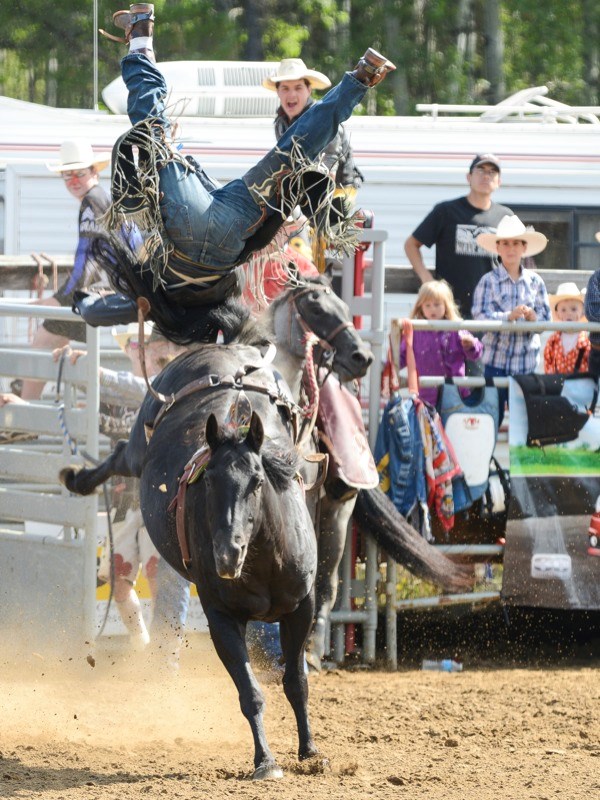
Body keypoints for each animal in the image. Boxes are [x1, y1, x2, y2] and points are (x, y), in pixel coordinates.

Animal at [61, 340, 322, 780]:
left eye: (257, 481)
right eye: (209, 479)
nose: (227, 554)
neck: (264, 563)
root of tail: (223, 349)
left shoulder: (302, 607)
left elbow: (296, 683)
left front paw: (310, 751)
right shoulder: (220, 617)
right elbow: (250, 693)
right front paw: (265, 761)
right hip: (140, 444)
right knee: (120, 453)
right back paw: (75, 478)